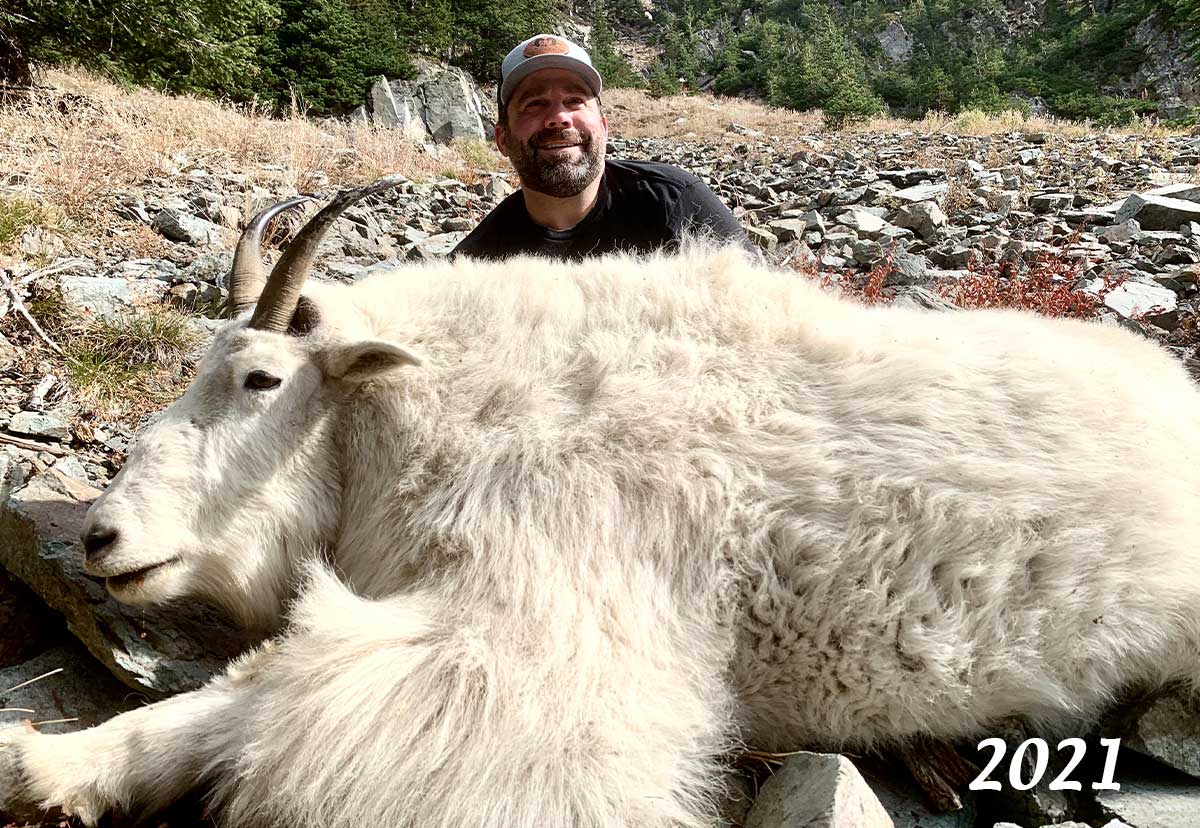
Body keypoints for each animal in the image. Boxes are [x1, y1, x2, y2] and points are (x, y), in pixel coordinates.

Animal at [2, 176, 1200, 828]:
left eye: (260, 379)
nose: (103, 538)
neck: (442, 406)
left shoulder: (537, 623)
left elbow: (271, 689)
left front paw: (50, 761)